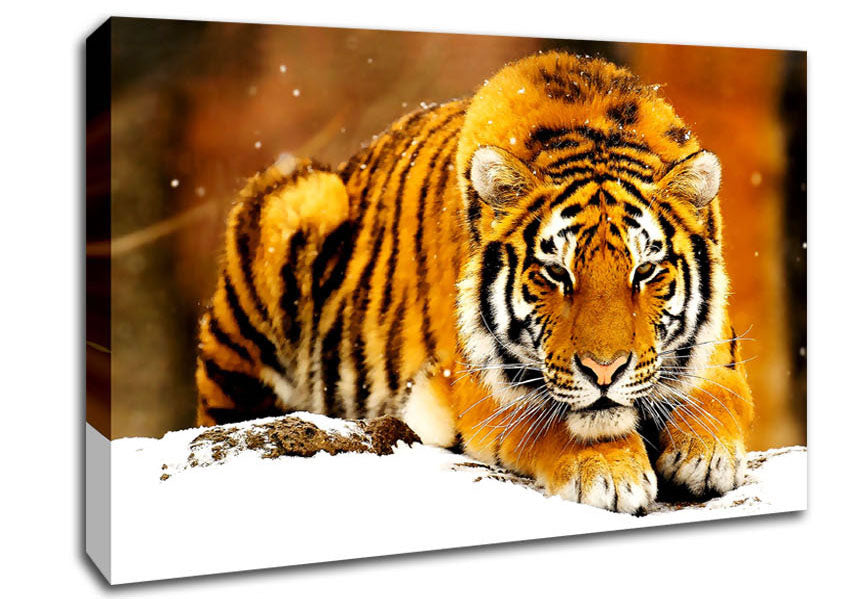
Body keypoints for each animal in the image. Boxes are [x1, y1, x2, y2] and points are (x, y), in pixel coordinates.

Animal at [195, 51, 754, 514]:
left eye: (645, 272)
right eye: (556, 273)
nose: (604, 371)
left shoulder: (719, 355)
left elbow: (718, 398)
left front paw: (704, 454)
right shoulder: (478, 387)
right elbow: (550, 419)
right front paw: (610, 472)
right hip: (297, 203)